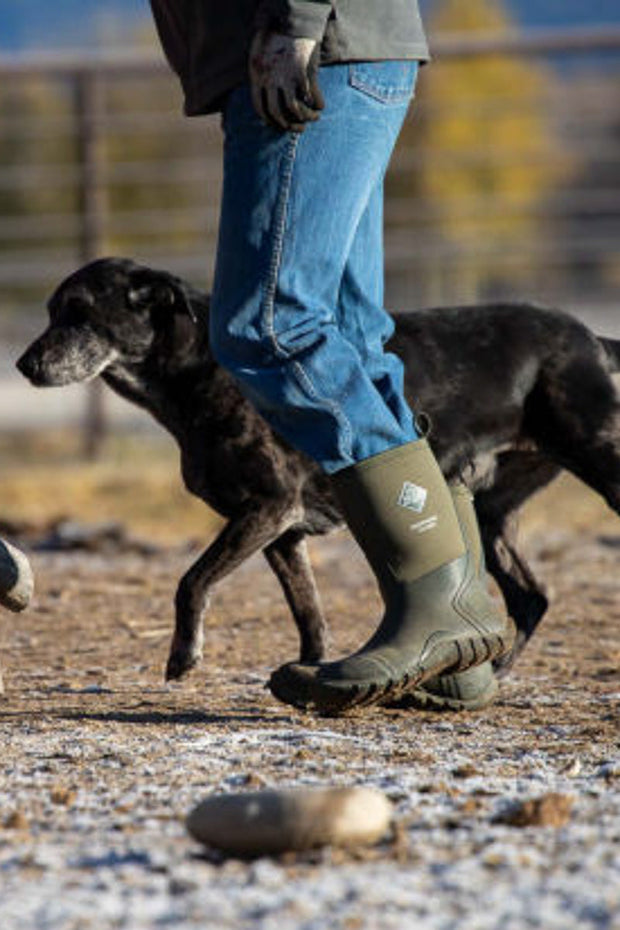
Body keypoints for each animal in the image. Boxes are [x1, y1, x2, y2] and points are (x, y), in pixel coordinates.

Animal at [17, 258, 616, 676]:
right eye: (50, 311)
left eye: (80, 312)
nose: (24, 365)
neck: (202, 369)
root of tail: (592, 339)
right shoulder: (282, 534)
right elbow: (309, 613)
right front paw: (310, 672)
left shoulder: (267, 507)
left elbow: (191, 580)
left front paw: (184, 655)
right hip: (490, 513)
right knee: (532, 597)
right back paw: (491, 667)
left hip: (599, 461)